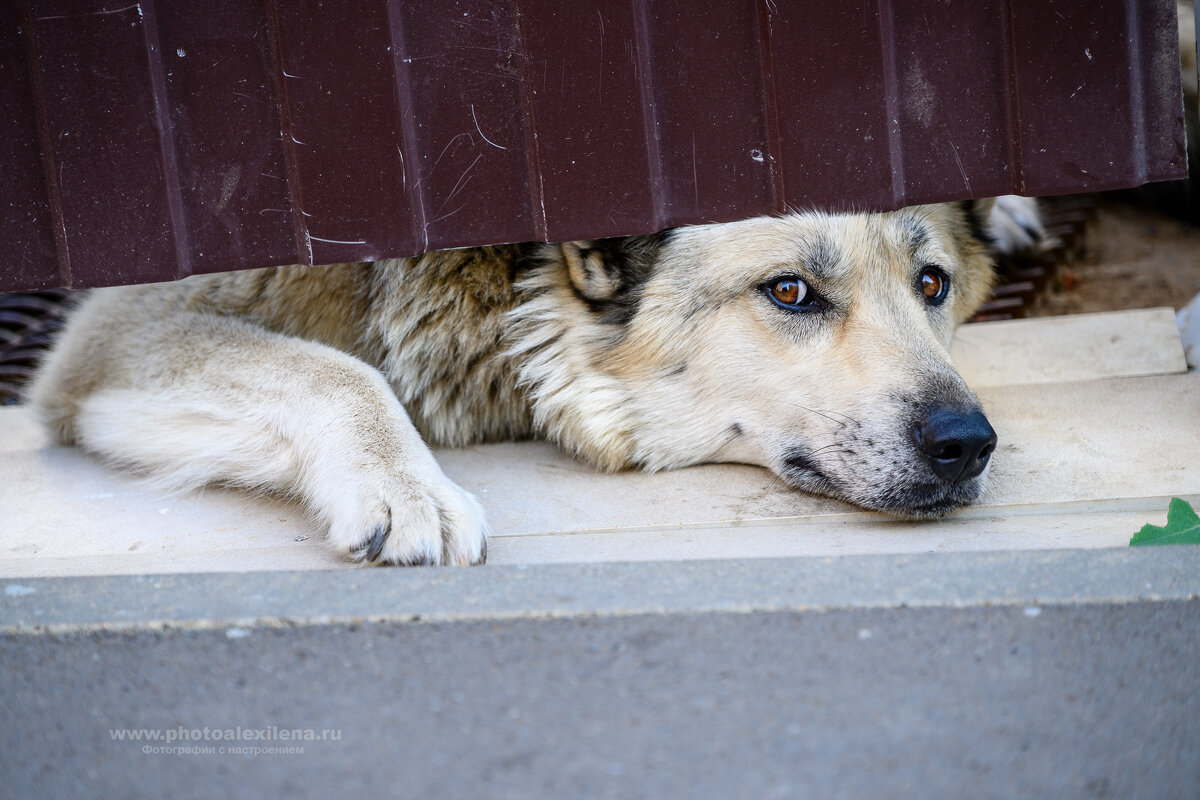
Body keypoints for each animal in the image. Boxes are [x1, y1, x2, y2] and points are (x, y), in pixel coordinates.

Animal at [30, 196, 1041, 566]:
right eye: (790, 291)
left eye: (930, 285)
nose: (968, 445)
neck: (504, 289)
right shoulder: (109, 339)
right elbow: (337, 370)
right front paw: (406, 487)